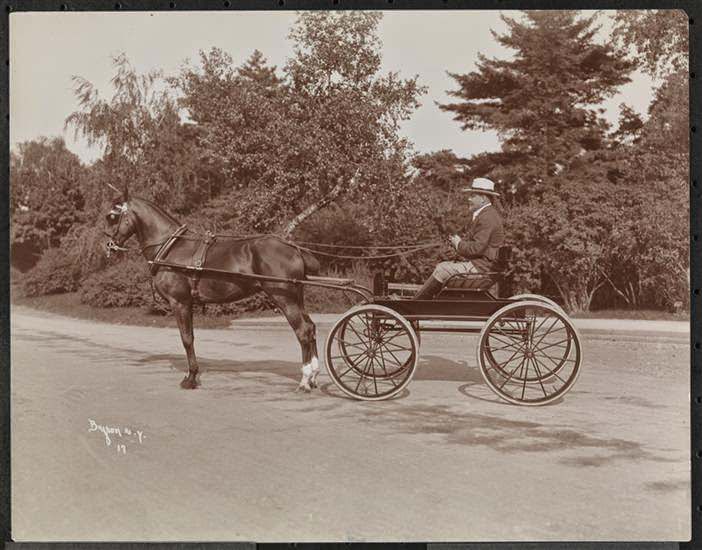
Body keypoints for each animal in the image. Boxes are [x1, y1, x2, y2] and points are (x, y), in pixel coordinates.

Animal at [104, 190, 322, 392]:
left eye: (112, 216)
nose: (108, 245)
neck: (171, 248)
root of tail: (294, 248)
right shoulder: (188, 303)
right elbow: (190, 336)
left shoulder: (179, 302)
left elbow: (186, 338)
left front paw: (191, 378)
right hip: (297, 297)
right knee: (311, 328)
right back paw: (313, 376)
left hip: (284, 299)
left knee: (303, 331)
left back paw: (305, 380)